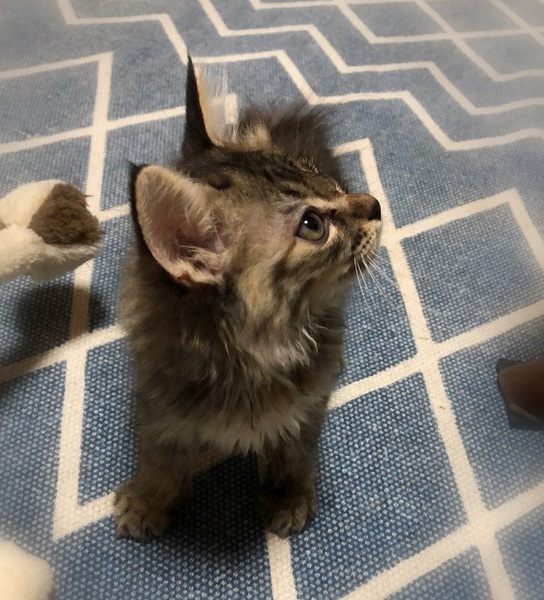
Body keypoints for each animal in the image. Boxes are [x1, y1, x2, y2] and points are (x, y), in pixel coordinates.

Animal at [113, 57, 382, 541]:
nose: (374, 205)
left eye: (317, 175)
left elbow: (295, 452)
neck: (246, 356)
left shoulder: (307, 406)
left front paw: (290, 497)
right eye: (313, 225)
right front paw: (146, 501)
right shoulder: (159, 406)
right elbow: (159, 460)